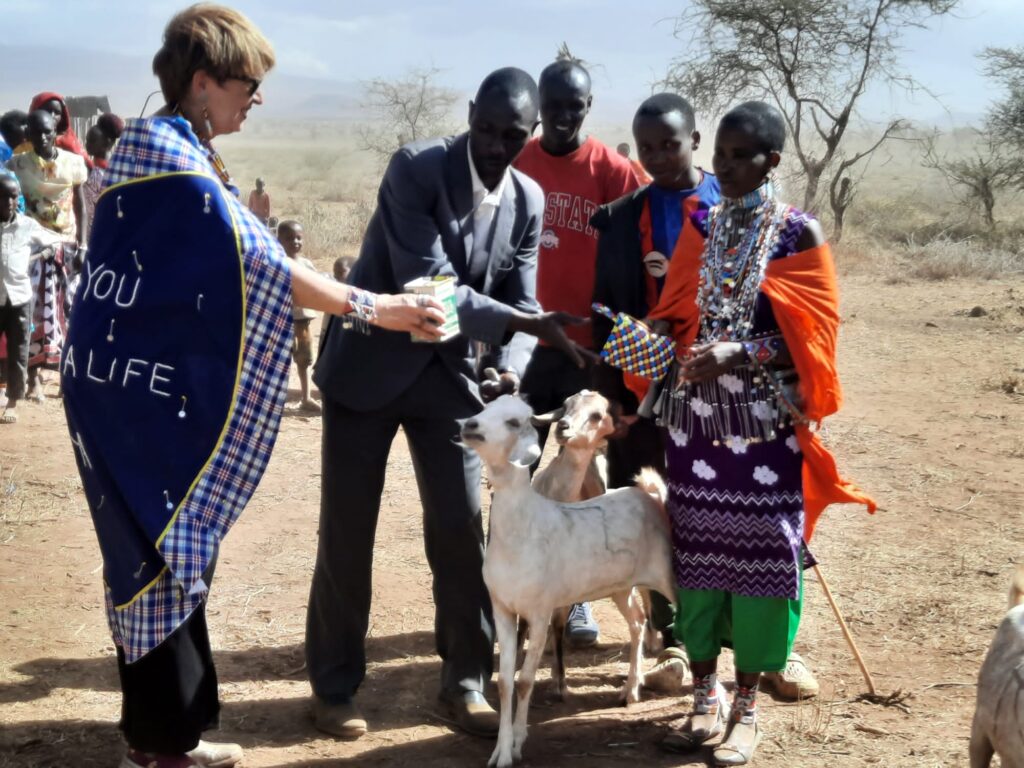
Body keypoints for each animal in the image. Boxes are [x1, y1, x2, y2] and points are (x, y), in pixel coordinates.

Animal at [462, 397, 671, 768]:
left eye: (514, 421)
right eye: (485, 407)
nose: (469, 426)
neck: (522, 528)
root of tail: (650, 495)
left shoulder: (540, 609)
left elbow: (526, 680)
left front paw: (518, 743)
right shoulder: (503, 608)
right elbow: (505, 683)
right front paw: (501, 751)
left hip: (668, 576)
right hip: (620, 585)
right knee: (636, 621)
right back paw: (630, 689)